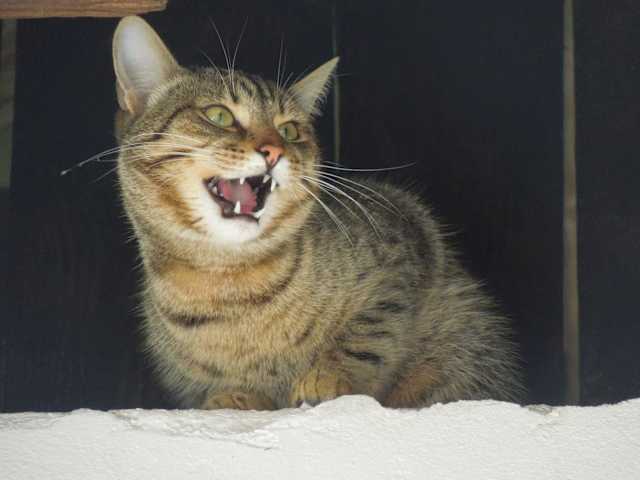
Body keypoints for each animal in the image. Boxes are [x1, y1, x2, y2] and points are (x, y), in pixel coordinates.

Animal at [112, 16, 523, 410]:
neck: (226, 283)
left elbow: (366, 335)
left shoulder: (401, 250)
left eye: (291, 131)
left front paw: (329, 376)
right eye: (219, 115)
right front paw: (236, 393)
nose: (274, 151)